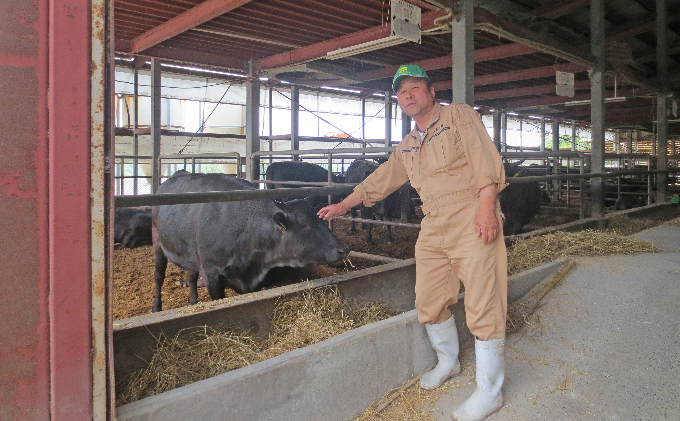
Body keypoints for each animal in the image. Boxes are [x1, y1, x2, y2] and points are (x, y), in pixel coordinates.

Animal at [151, 171, 348, 312]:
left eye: (322, 220)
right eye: (303, 224)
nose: (343, 249)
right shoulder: (211, 273)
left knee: (191, 275)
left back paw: (193, 301)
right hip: (157, 243)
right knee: (159, 276)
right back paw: (156, 307)